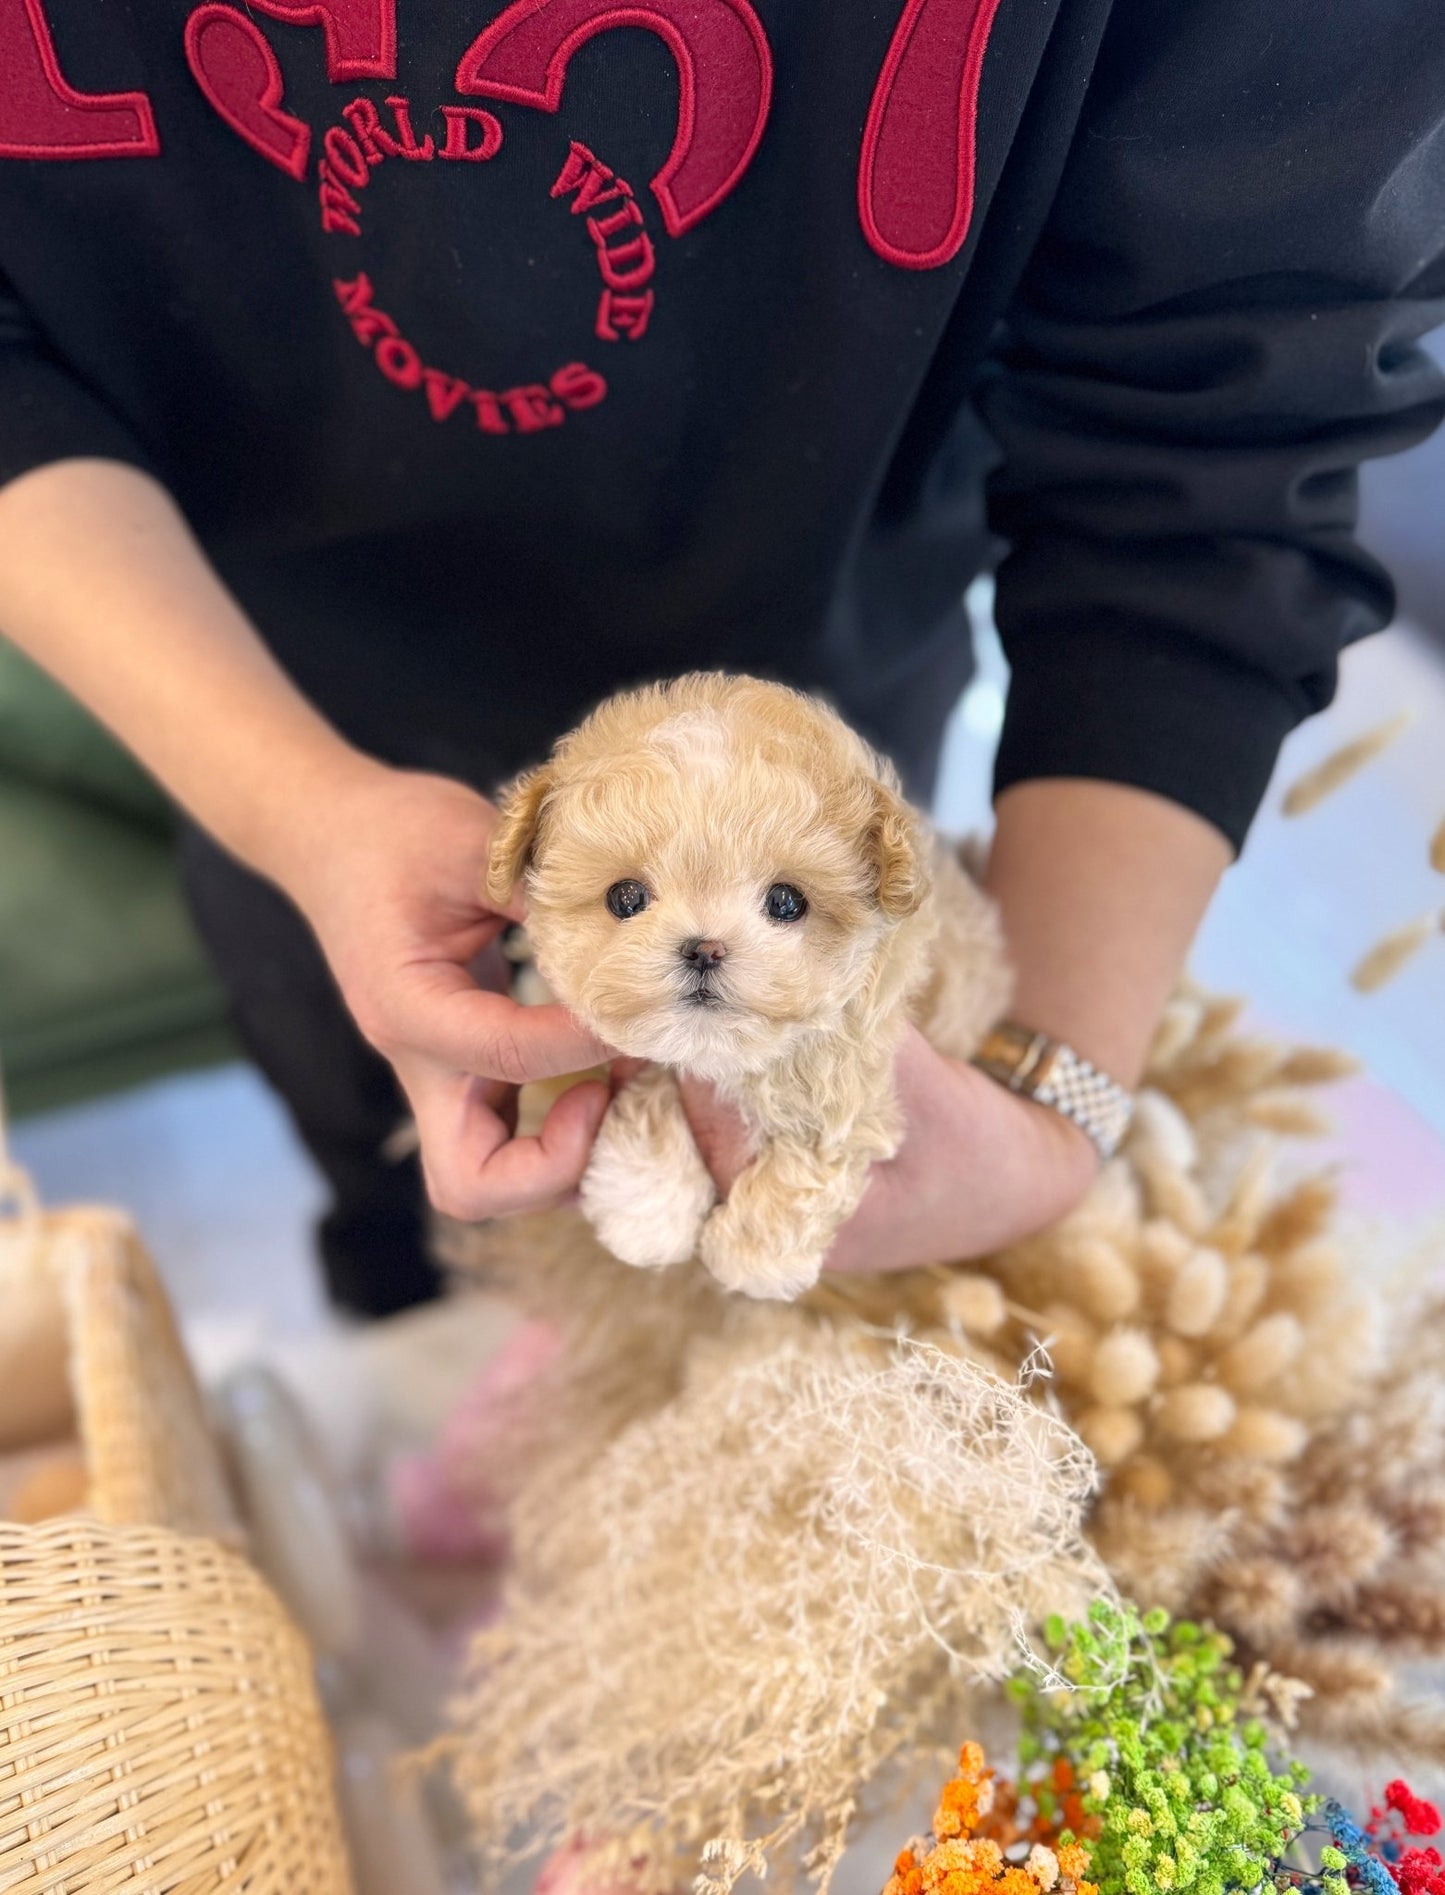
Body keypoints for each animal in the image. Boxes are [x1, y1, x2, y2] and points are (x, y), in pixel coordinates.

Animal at [484, 670, 1007, 1303]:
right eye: (625, 898)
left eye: (785, 901)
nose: (704, 949)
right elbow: (652, 1087)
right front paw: (645, 1210)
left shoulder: (859, 1057)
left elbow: (820, 1144)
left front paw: (753, 1256)